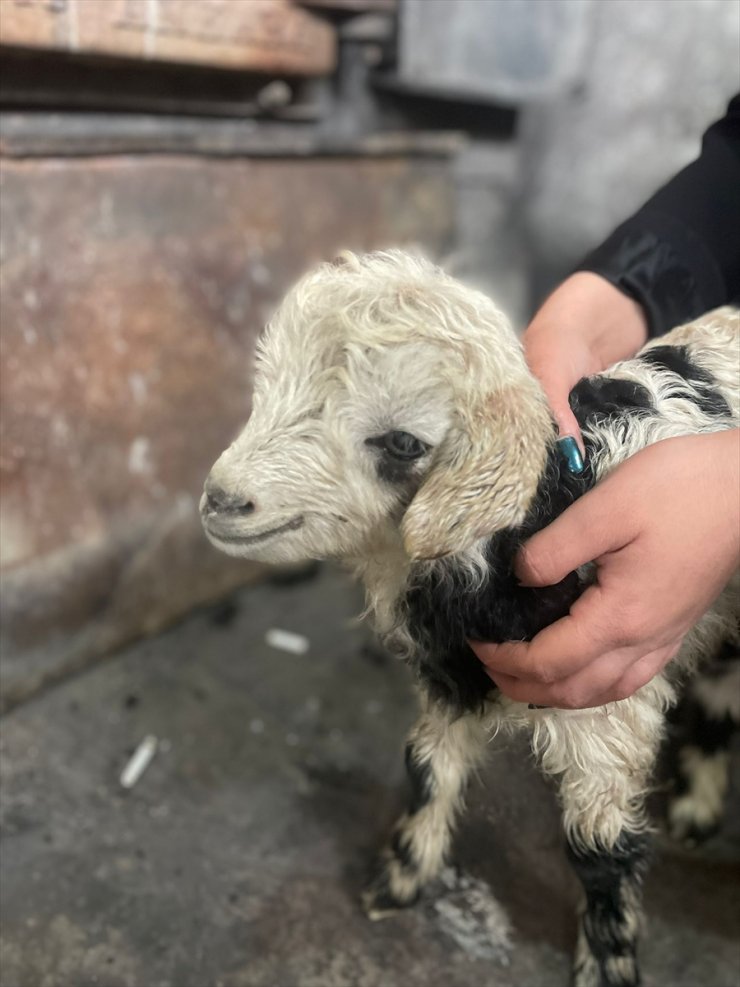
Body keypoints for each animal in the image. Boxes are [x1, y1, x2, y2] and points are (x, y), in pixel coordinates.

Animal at [199, 251, 736, 984]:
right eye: (268, 387)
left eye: (401, 442)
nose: (222, 501)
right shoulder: (450, 680)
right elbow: (427, 769)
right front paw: (400, 877)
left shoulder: (608, 709)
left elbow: (599, 850)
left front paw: (607, 961)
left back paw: (698, 801)